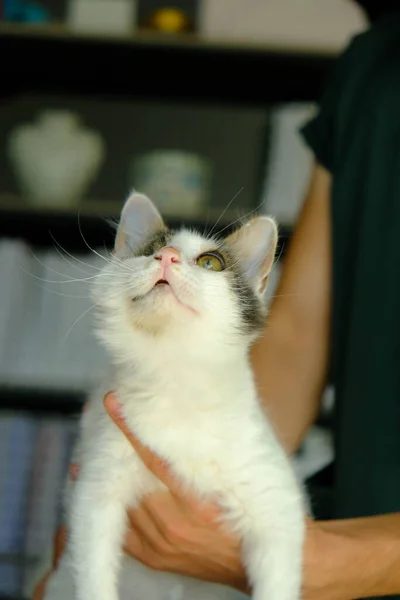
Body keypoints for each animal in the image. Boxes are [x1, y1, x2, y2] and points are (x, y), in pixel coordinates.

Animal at [43, 192, 304, 600]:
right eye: (150, 251)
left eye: (210, 262)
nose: (166, 256)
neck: (176, 380)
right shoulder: (95, 489)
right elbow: (93, 572)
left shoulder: (278, 509)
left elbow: (278, 579)